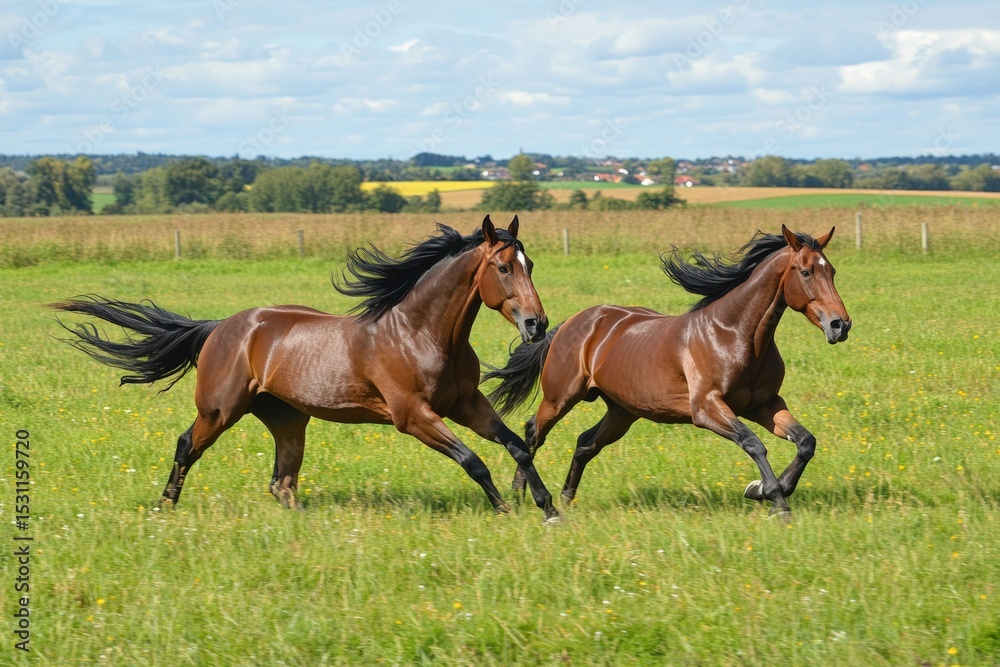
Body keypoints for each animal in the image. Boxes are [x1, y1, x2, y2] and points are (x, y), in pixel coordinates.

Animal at [52, 216, 560, 522]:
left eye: (531, 263)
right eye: (503, 267)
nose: (537, 325)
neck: (421, 333)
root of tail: (220, 326)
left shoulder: (466, 404)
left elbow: (517, 448)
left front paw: (547, 507)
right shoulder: (413, 416)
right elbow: (473, 461)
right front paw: (505, 510)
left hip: (288, 419)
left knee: (281, 481)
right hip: (219, 411)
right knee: (187, 445)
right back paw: (165, 507)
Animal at [484, 225, 851, 516]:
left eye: (832, 271)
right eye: (805, 272)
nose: (840, 325)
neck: (734, 334)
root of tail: (568, 324)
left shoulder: (765, 404)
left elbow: (806, 442)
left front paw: (764, 489)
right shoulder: (706, 408)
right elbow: (754, 443)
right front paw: (773, 498)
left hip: (623, 410)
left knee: (586, 442)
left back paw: (566, 496)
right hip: (561, 397)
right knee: (533, 431)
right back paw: (523, 494)